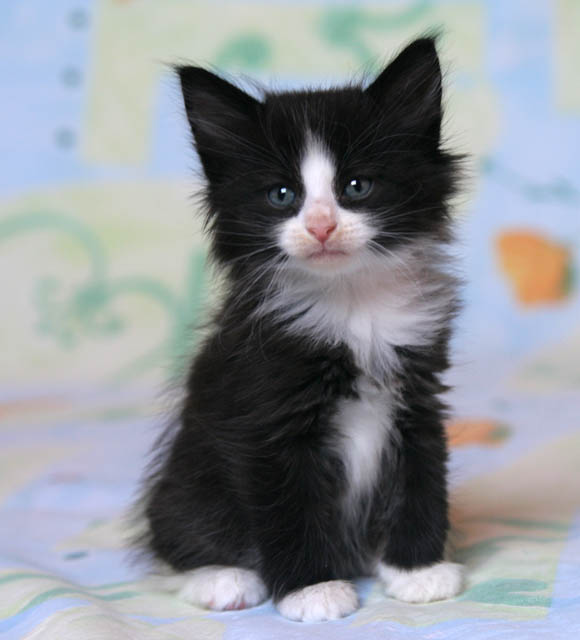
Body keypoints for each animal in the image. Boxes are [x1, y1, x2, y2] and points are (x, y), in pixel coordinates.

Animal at [136, 36, 464, 622]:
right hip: (189, 482)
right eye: (282, 195)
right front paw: (313, 590)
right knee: (177, 534)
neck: (352, 302)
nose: (321, 225)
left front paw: (418, 571)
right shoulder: (267, 418)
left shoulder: (419, 393)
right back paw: (221, 578)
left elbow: (421, 474)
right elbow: (289, 507)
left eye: (356, 186)